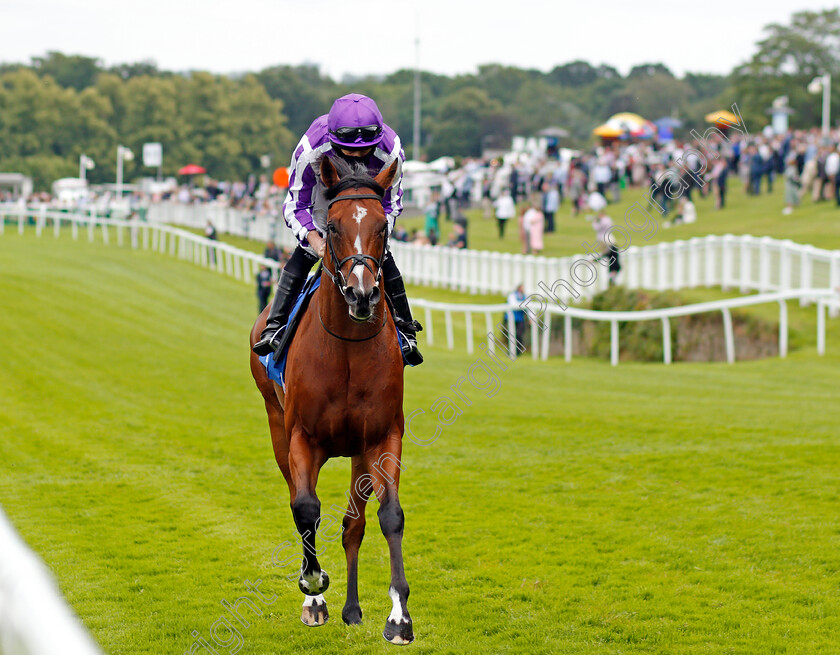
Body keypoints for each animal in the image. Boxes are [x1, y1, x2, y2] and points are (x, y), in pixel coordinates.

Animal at [248, 156, 416, 644]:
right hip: (276, 425)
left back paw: (353, 608)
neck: (347, 350)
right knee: (298, 501)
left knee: (353, 525)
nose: (362, 294)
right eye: (336, 226)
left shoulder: (382, 438)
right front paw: (313, 588)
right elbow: (305, 508)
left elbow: (388, 516)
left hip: (358, 453)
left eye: (382, 226)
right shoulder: (302, 438)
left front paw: (398, 616)